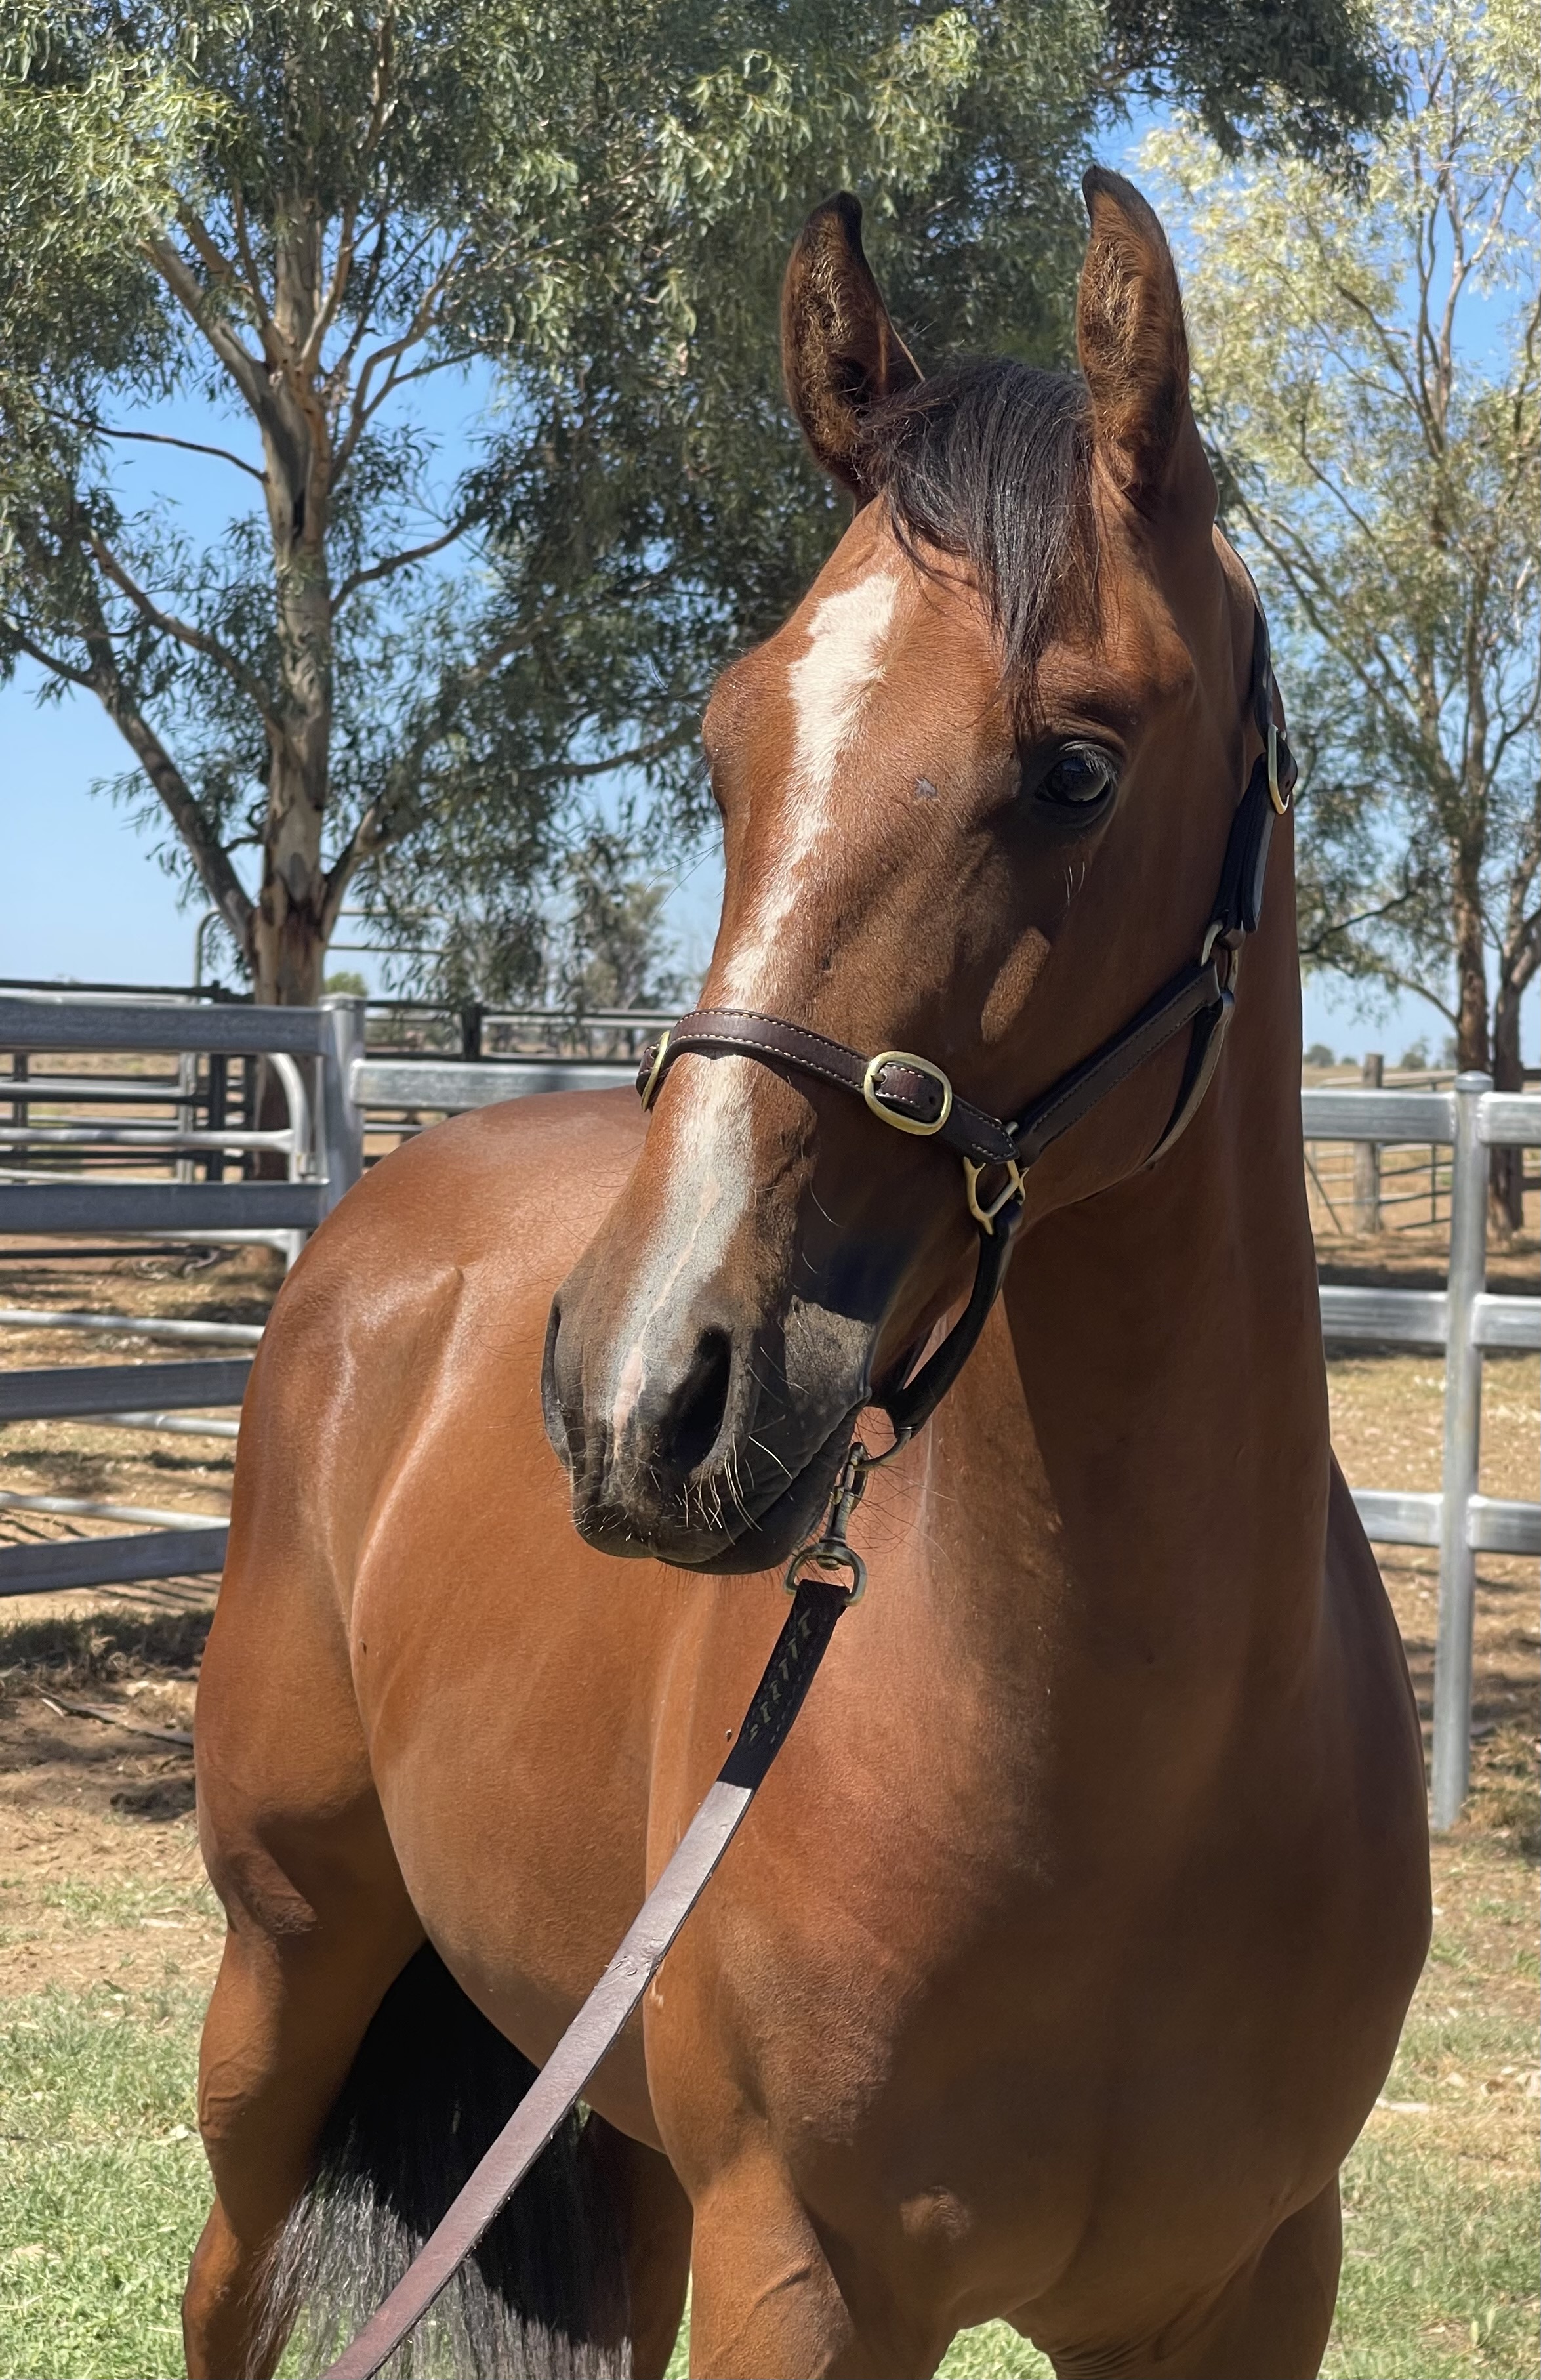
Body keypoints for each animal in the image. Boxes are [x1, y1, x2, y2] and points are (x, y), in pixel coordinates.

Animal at [184, 171, 1430, 2380]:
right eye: (724, 739)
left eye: (1078, 766)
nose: (639, 1393)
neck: (1138, 1775)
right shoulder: (808, 2279)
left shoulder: (1251, 2285)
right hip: (284, 1977)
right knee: (226, 2279)